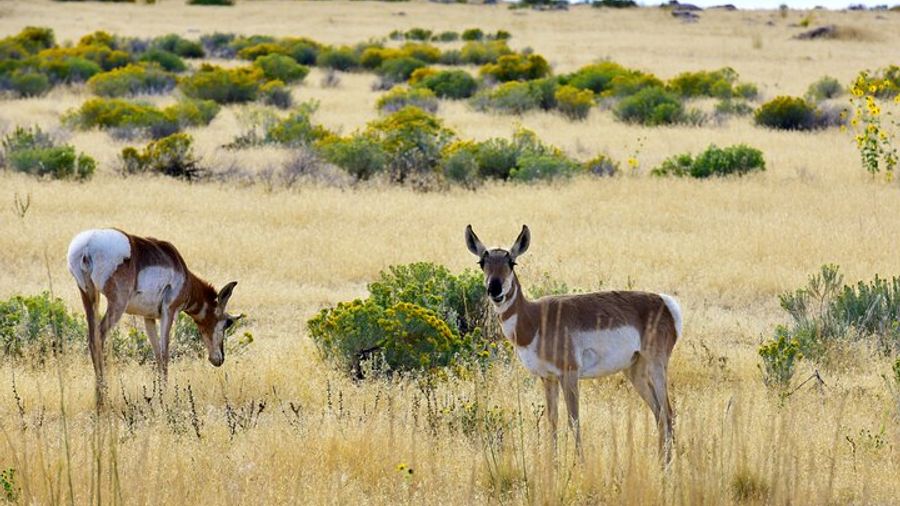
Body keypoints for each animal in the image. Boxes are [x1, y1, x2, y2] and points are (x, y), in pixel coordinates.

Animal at [67, 228, 242, 389]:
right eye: (228, 323)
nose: (219, 359)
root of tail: (87, 244)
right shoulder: (169, 312)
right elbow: (165, 353)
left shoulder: (148, 318)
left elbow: (157, 353)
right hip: (117, 305)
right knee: (99, 336)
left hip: (88, 296)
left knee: (91, 338)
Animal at [465, 225, 682, 462]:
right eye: (482, 263)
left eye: (512, 262)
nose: (494, 290)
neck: (536, 318)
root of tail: (664, 302)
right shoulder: (548, 378)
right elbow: (553, 420)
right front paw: (553, 463)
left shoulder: (569, 374)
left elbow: (573, 419)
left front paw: (580, 464)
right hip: (635, 371)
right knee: (658, 412)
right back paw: (661, 462)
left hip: (656, 366)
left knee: (668, 412)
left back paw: (668, 464)